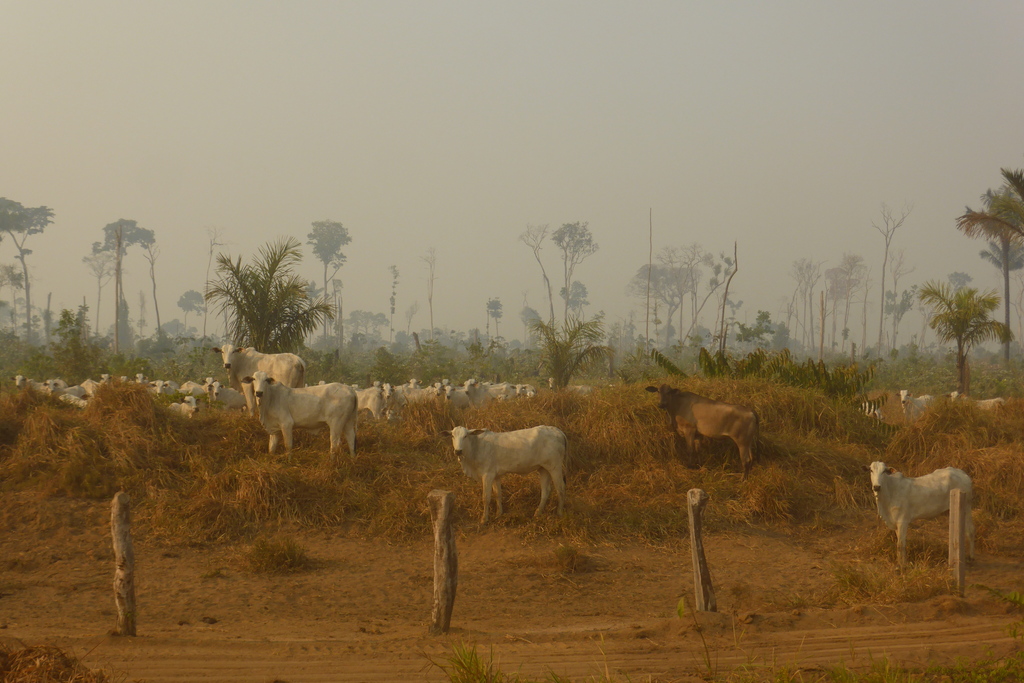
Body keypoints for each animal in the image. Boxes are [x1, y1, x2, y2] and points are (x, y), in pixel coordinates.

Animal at [440, 428, 569, 524]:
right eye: (452, 436)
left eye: (466, 436)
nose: (458, 451)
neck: (475, 447)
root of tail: (558, 431)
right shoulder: (495, 476)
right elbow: (498, 494)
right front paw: (499, 514)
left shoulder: (487, 475)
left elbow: (486, 497)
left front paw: (484, 519)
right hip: (544, 469)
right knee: (546, 490)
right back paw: (538, 512)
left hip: (555, 467)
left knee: (561, 488)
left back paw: (559, 512)